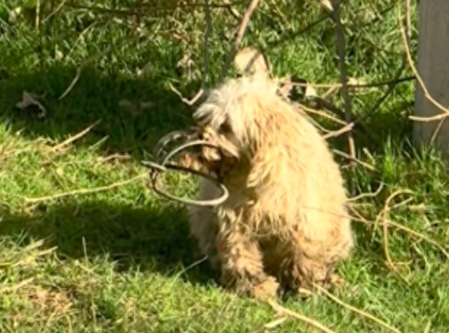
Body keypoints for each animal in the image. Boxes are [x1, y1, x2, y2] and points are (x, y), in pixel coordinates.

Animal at [177, 73, 352, 298]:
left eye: (225, 127)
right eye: (207, 120)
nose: (198, 138)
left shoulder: (305, 219)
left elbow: (305, 254)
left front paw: (307, 286)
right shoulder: (235, 218)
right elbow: (240, 252)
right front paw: (253, 285)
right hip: (203, 215)